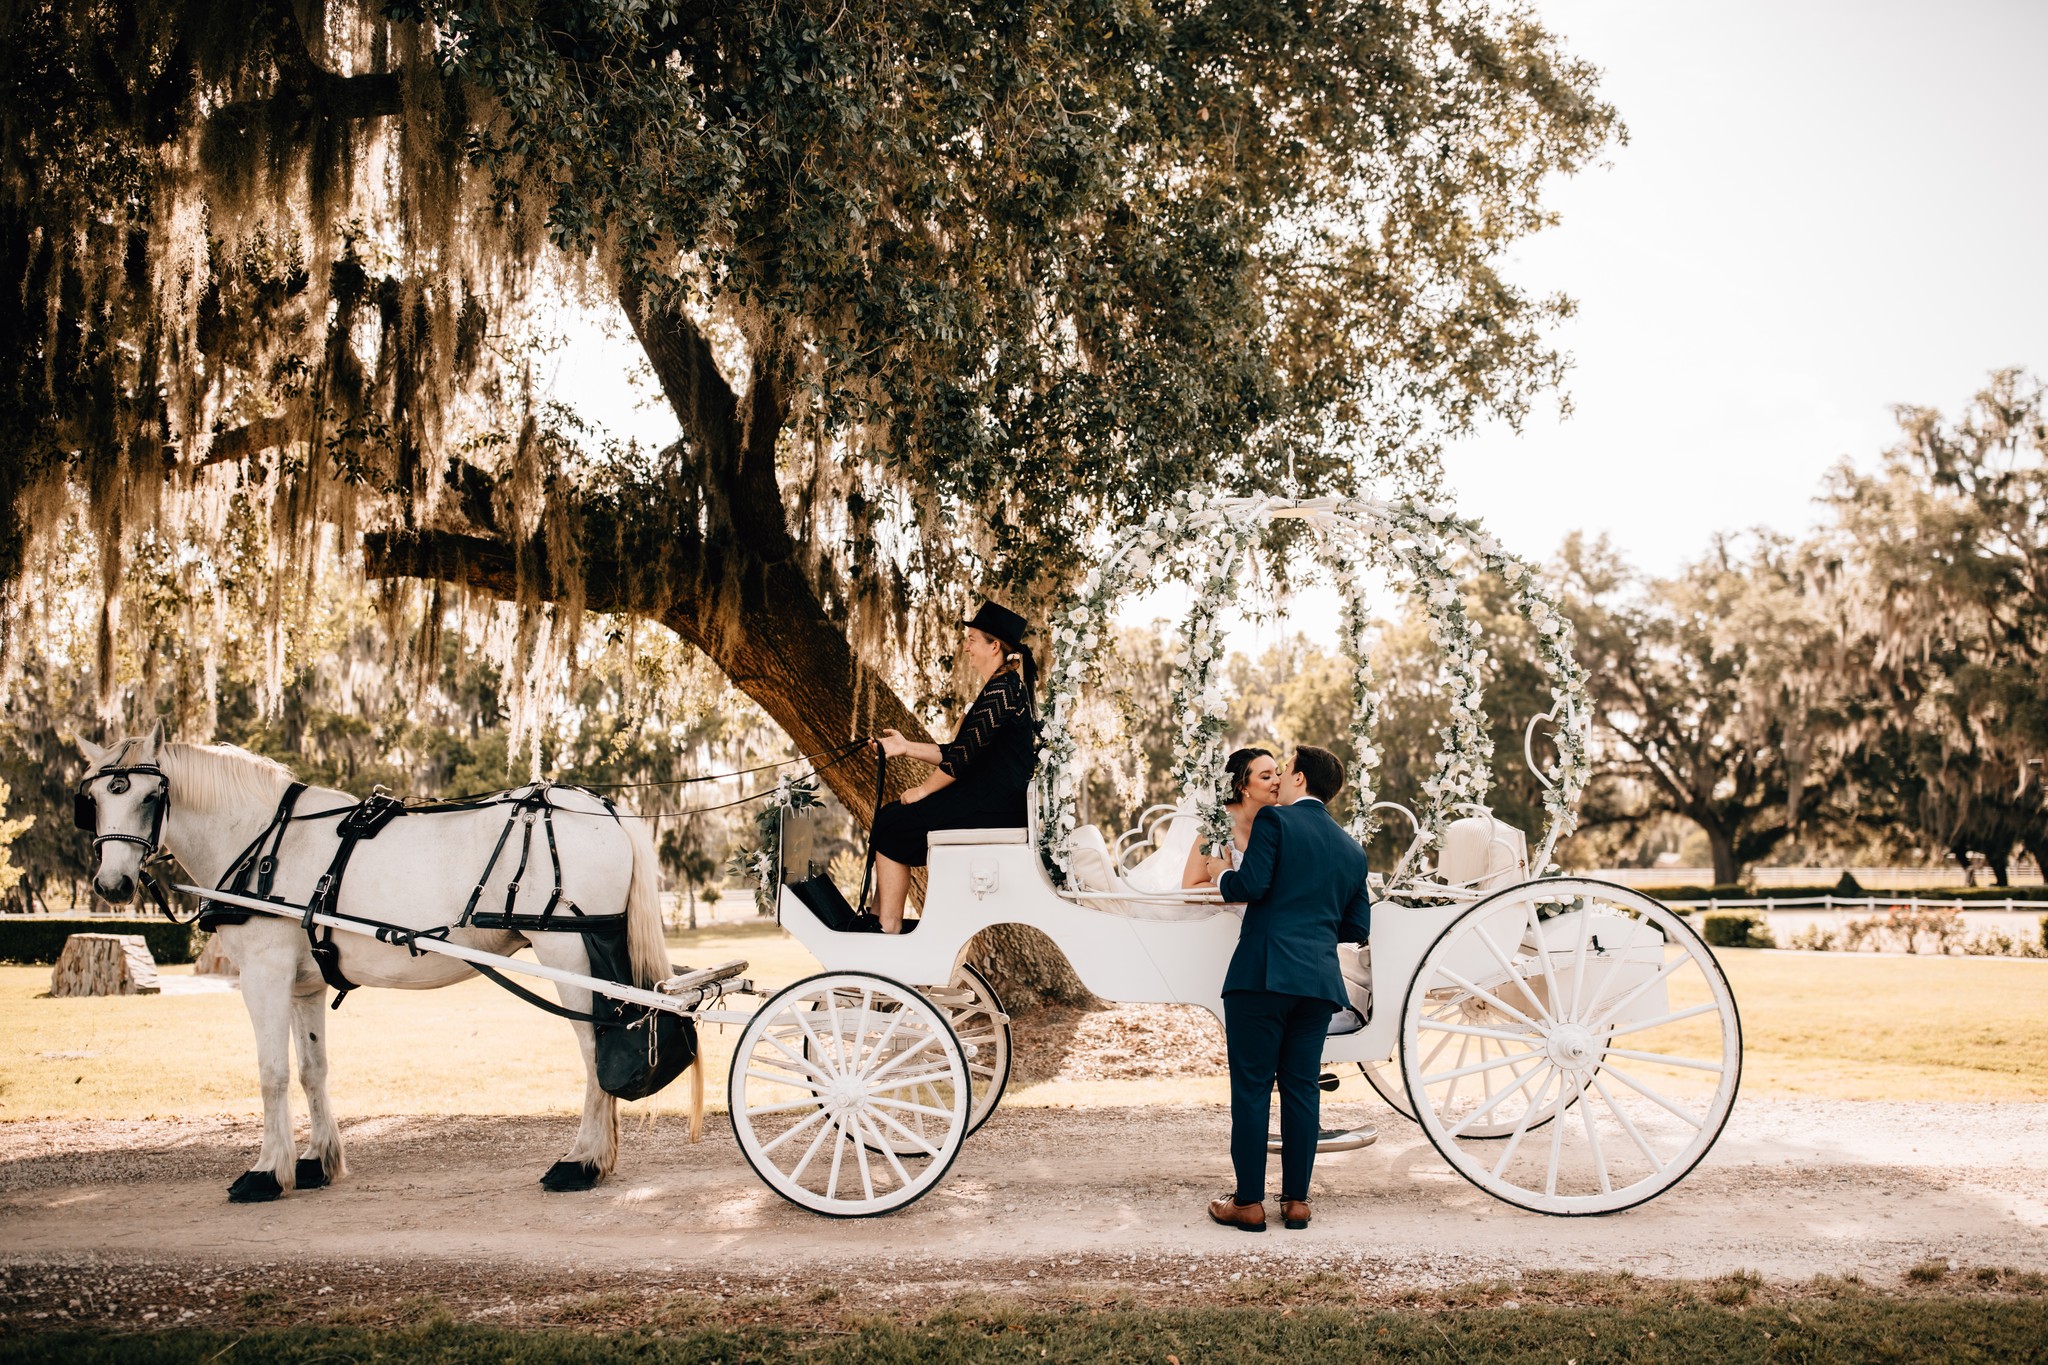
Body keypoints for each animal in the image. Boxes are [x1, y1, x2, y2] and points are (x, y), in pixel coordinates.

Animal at [75, 720, 700, 1203]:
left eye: (149, 798)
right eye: (96, 801)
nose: (112, 885)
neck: (263, 839)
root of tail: (602, 806)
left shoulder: (263, 974)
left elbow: (272, 1073)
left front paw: (266, 1172)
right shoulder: (302, 984)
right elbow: (312, 1069)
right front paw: (316, 1162)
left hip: (568, 951)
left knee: (598, 1050)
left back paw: (582, 1162)